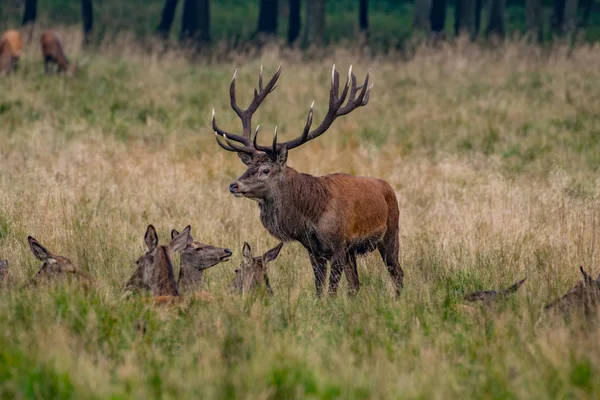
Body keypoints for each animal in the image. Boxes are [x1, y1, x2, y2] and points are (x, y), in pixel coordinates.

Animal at [211, 65, 404, 296]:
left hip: (391, 232)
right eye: (248, 167)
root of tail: (387, 186)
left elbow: (331, 289)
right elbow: (319, 288)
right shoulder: (313, 249)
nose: (234, 185)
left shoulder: (339, 245)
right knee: (355, 285)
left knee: (397, 273)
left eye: (266, 170)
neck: (312, 217)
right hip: (354, 252)